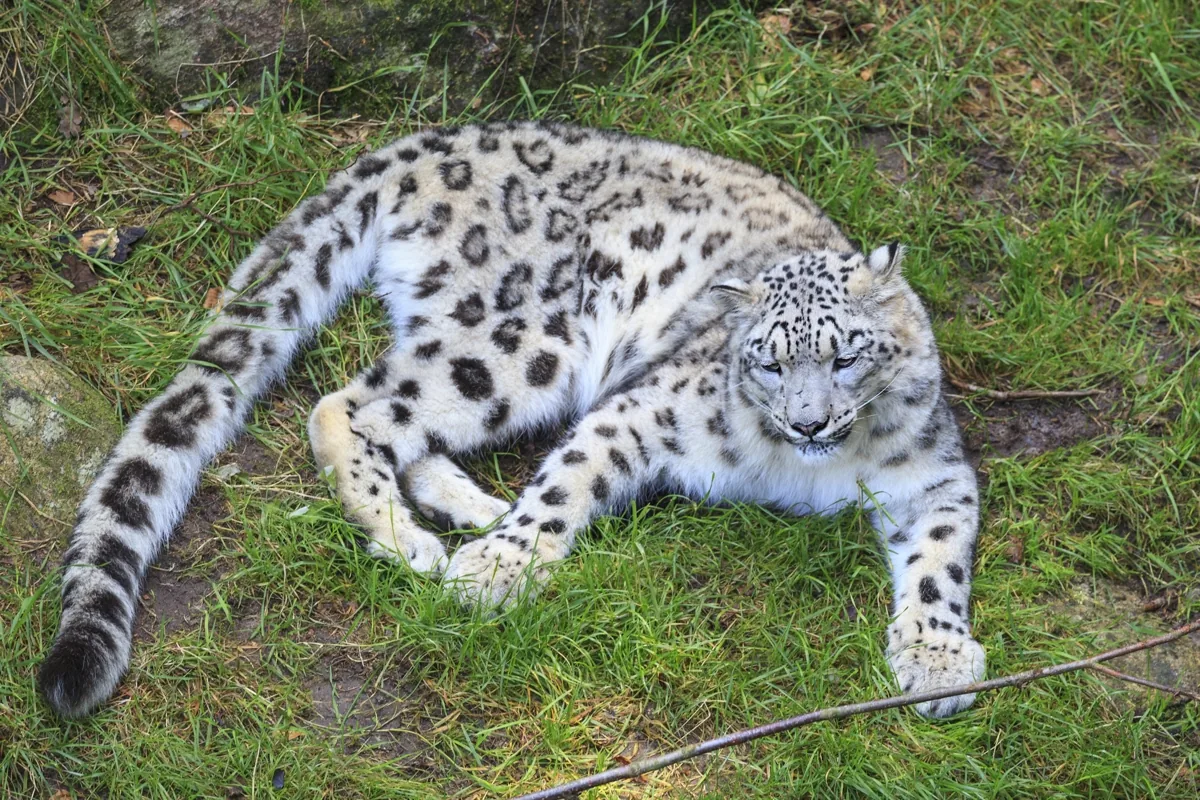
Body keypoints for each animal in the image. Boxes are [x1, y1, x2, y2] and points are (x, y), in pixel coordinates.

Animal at [39, 120, 985, 720]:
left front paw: (939, 661)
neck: (804, 471)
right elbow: (566, 486)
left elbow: (940, 562)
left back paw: (469, 509)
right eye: (771, 359)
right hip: (523, 343)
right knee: (348, 404)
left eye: (845, 355)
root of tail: (433, 139)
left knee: (407, 424)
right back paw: (416, 542)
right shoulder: (640, 409)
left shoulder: (935, 474)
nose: (812, 425)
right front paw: (495, 571)